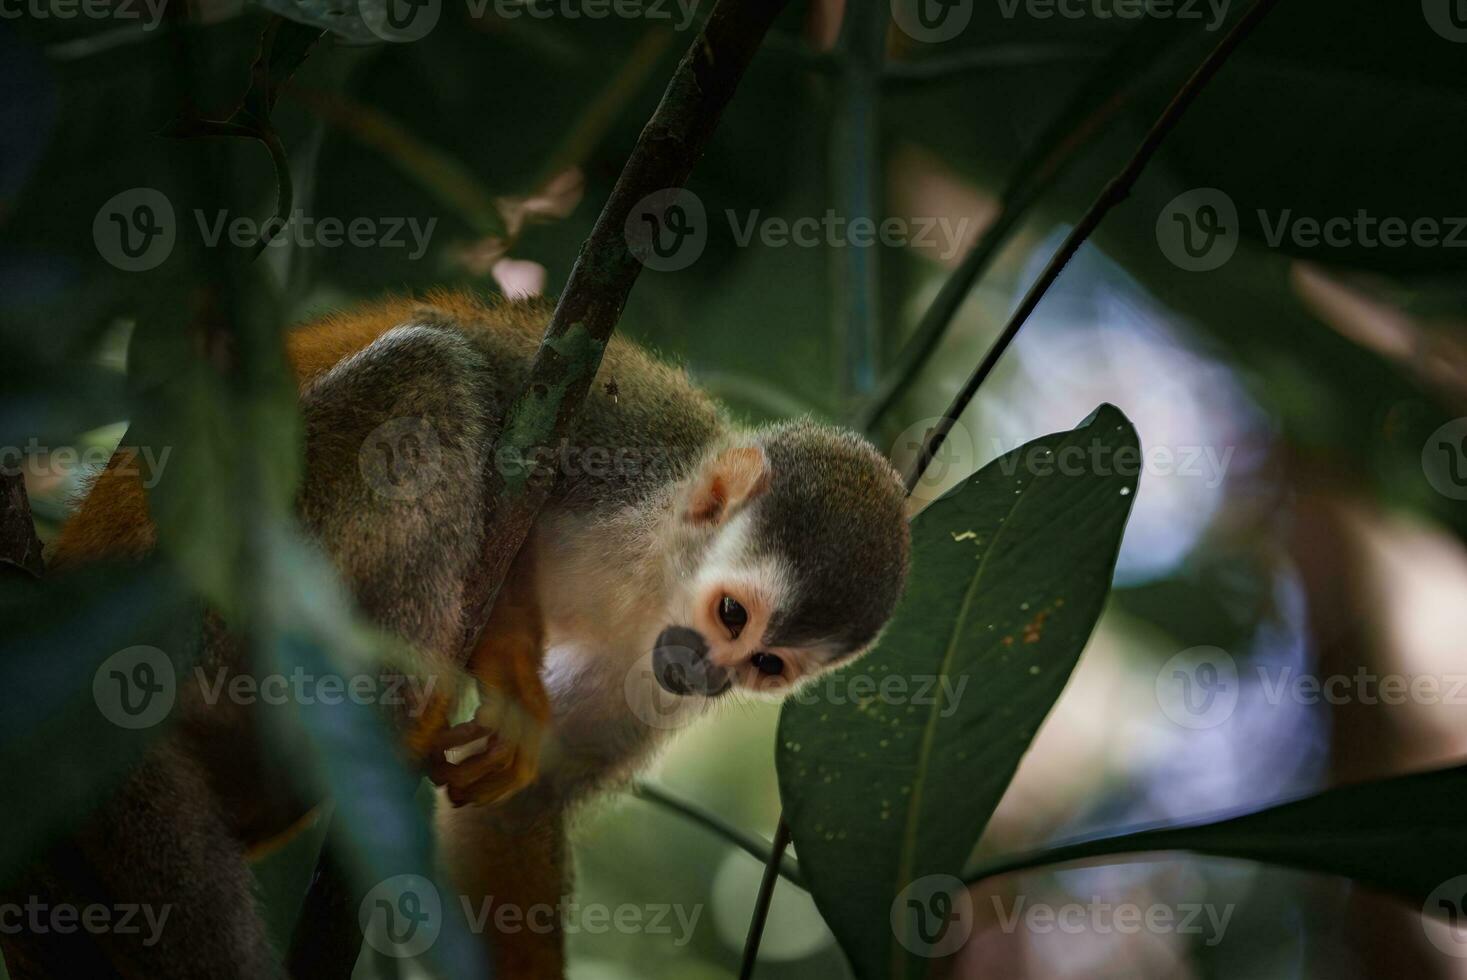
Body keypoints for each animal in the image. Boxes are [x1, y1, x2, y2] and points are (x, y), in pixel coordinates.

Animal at [5, 290, 909, 979]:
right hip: (200, 591)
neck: (650, 571)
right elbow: (503, 423)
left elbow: (522, 809)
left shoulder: (649, 672)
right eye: (731, 614)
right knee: (431, 376)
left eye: (766, 663)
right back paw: (398, 709)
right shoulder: (610, 442)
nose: (707, 677)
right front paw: (506, 671)